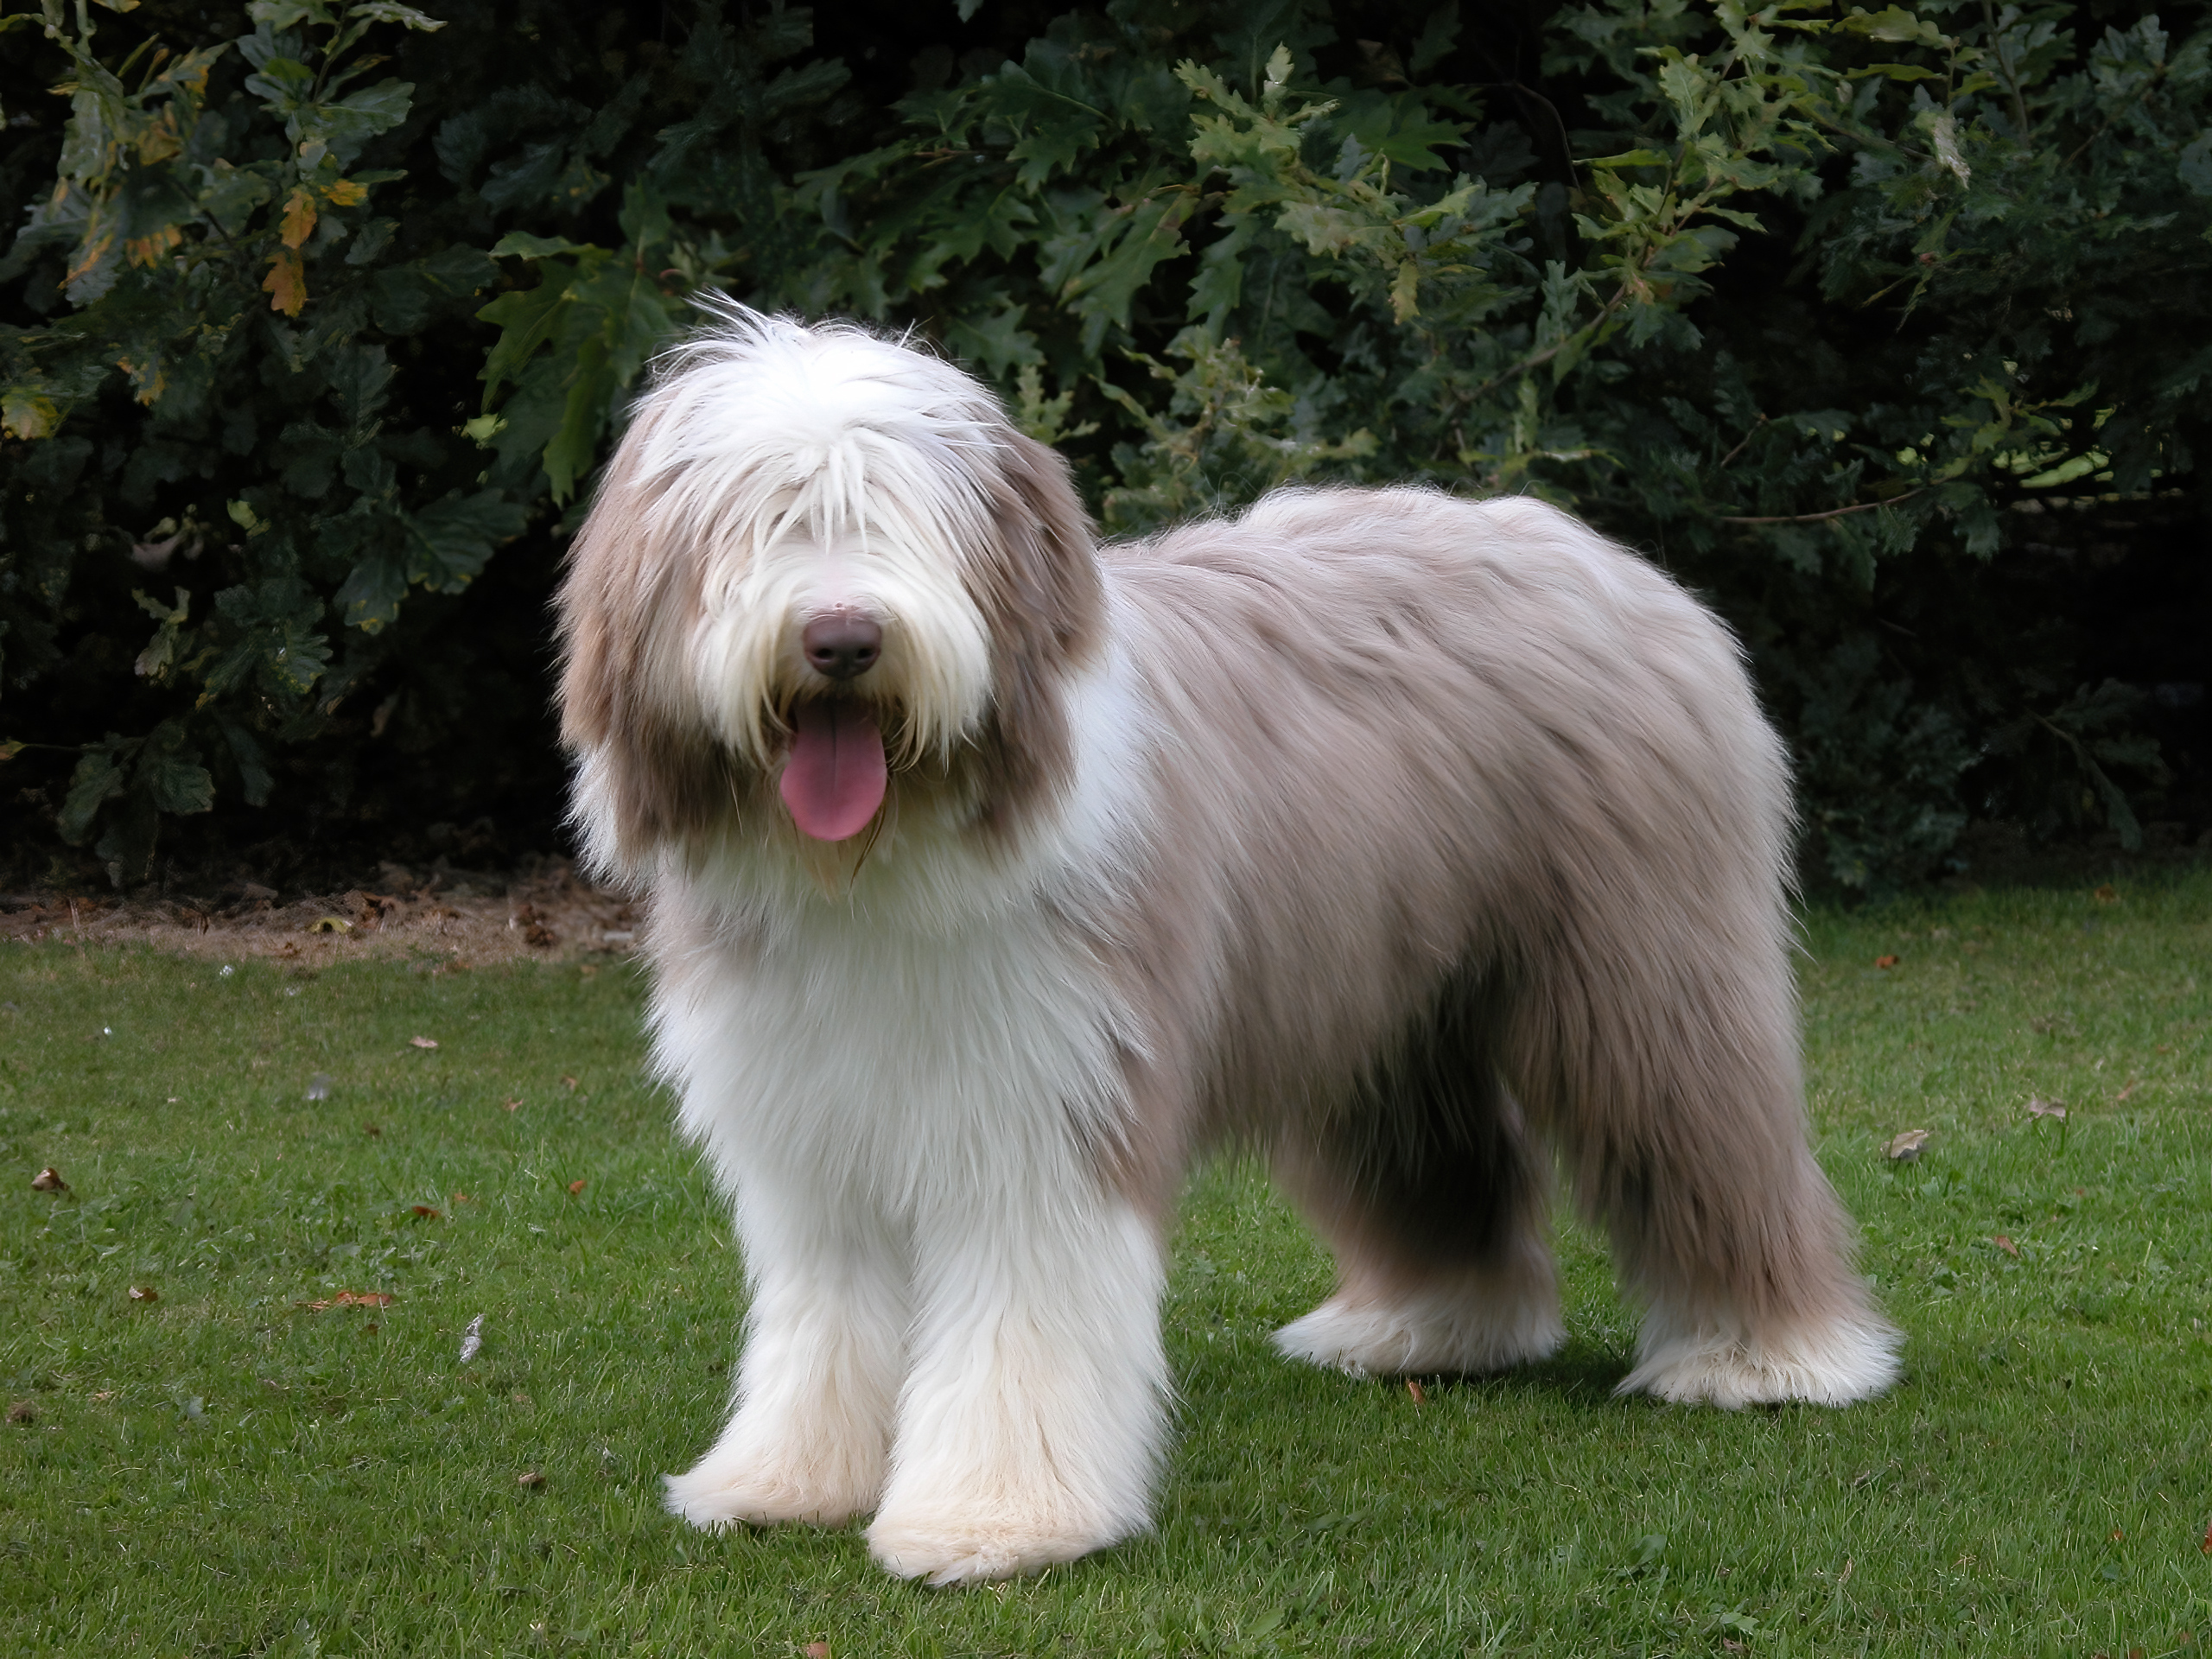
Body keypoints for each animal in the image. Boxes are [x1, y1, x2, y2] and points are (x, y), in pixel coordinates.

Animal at [553, 305, 1902, 1592]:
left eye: (900, 519)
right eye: (758, 526)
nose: (842, 638)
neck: (881, 862)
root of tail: (1607, 559)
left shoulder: (1052, 1102)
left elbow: (1019, 1322)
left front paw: (996, 1520)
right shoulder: (807, 1125)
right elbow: (824, 1318)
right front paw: (785, 1483)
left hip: (1642, 973)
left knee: (1704, 1132)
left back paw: (1768, 1358)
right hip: (1384, 1005)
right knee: (1441, 1155)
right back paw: (1428, 1330)